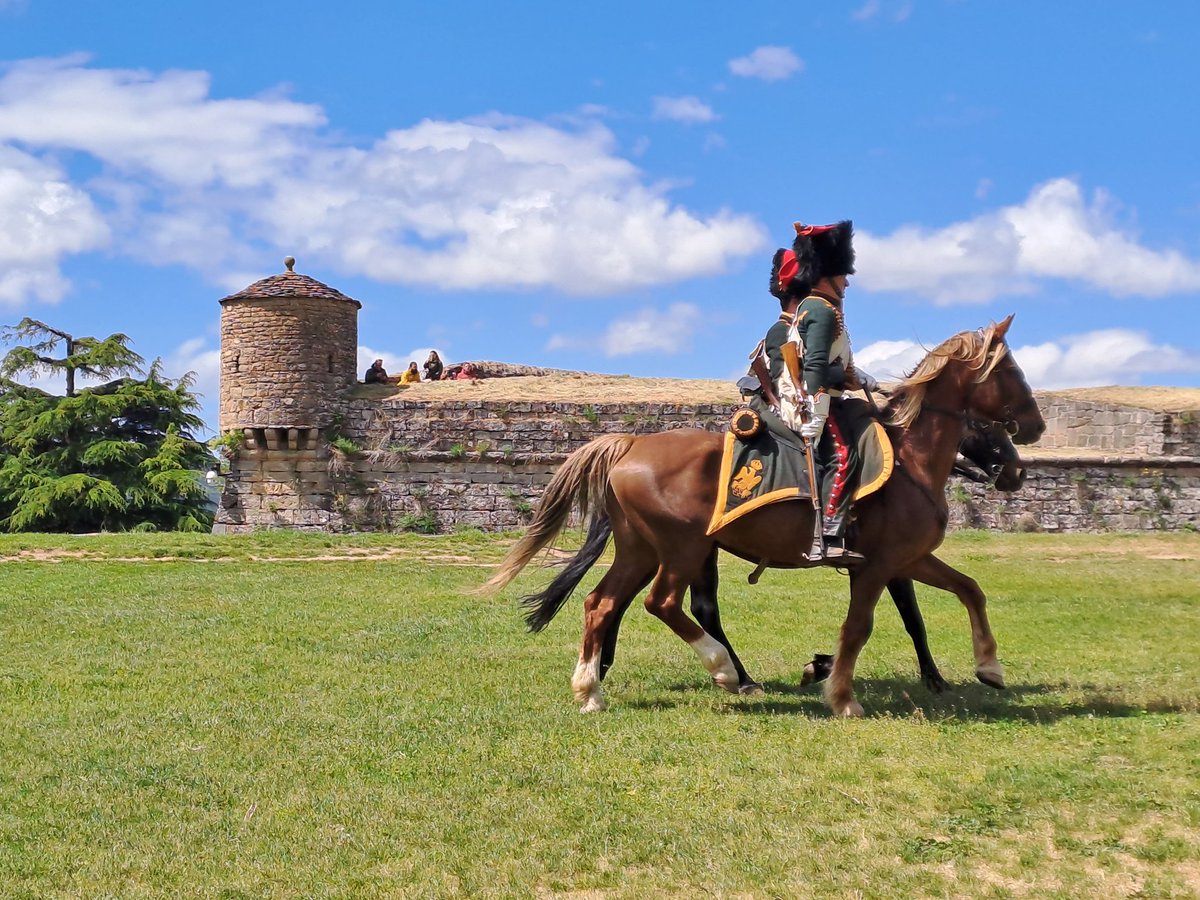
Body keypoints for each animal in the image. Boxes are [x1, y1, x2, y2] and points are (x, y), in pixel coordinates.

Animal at [482, 316, 1046, 720]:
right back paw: (724, 670)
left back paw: (591, 688)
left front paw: (989, 666)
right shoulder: (879, 566)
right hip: (682, 549)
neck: (910, 459)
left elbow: (969, 589)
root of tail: (631, 444)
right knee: (663, 603)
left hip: (641, 550)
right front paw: (843, 695)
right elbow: (862, 627)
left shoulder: (907, 560)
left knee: (602, 604)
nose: (1025, 454)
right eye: (1011, 374)